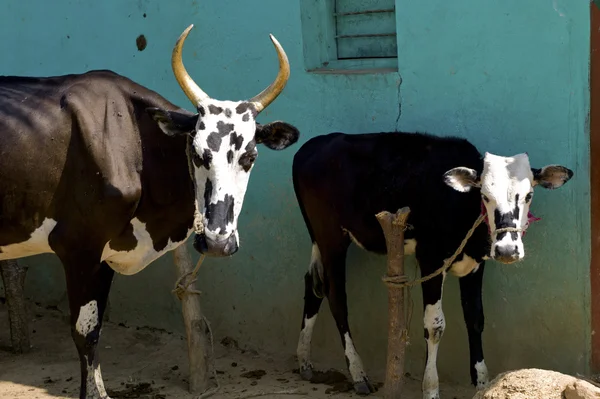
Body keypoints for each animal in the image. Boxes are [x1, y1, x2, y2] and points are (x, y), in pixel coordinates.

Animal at [0, 25, 300, 399]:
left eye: (250, 157)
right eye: (196, 153)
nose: (217, 241)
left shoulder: (103, 255)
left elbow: (96, 331)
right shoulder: (77, 245)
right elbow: (84, 333)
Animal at [292, 132, 576, 399]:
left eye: (528, 195)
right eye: (484, 196)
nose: (507, 250)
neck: (460, 207)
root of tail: (313, 145)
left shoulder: (475, 265)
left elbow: (475, 318)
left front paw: (482, 383)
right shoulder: (430, 259)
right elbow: (435, 325)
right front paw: (430, 388)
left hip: (318, 238)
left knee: (313, 286)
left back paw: (304, 360)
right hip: (331, 238)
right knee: (336, 298)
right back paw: (358, 373)